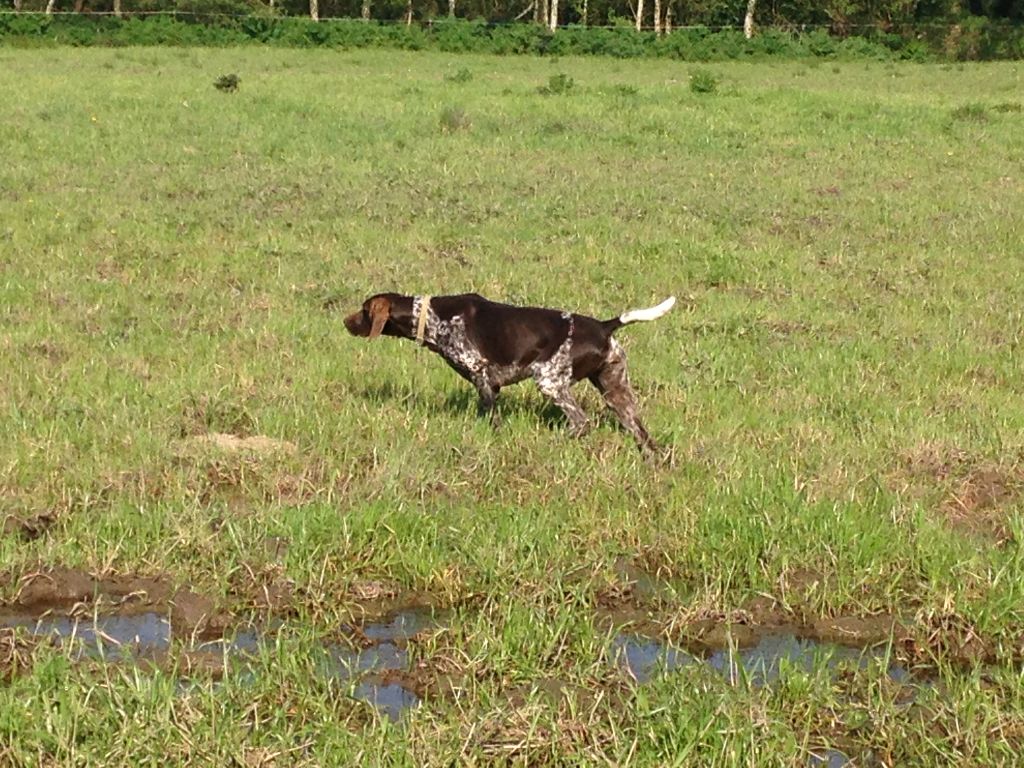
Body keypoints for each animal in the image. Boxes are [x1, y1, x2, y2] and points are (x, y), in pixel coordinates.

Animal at [348, 290, 675, 454]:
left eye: (363, 310)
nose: (344, 322)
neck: (431, 317)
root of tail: (604, 326)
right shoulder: (490, 386)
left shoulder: (481, 374)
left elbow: (493, 419)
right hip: (618, 394)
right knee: (644, 437)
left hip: (549, 382)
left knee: (581, 423)